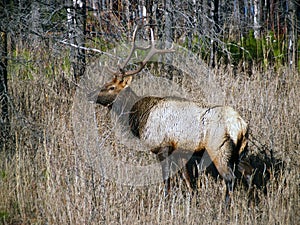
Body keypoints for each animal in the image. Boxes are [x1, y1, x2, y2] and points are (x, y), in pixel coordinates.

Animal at [88, 26, 251, 206]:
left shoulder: (163, 146)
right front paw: (193, 201)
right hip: (239, 152)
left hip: (219, 149)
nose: (90, 94)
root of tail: (241, 125)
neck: (139, 118)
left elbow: (167, 178)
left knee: (230, 178)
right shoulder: (180, 151)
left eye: (111, 87)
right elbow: (188, 180)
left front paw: (165, 201)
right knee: (248, 173)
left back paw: (225, 206)